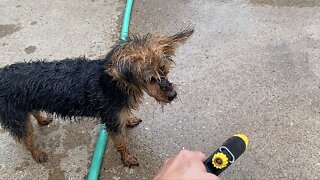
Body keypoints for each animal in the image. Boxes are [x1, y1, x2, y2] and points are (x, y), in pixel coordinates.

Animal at [0, 27, 195, 167]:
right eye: (151, 79)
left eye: (165, 72)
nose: (173, 95)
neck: (114, 84)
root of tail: (2, 75)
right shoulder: (112, 120)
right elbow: (121, 142)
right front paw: (127, 159)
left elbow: (125, 118)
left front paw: (129, 119)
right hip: (16, 116)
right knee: (26, 139)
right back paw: (37, 153)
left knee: (32, 113)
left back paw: (42, 119)